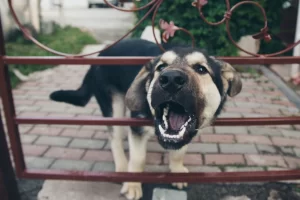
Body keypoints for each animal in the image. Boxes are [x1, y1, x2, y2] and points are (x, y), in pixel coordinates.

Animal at [49, 38, 241, 199]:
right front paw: (133, 185)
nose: (171, 79)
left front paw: (176, 170)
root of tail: (100, 56)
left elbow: (179, 152)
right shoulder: (137, 127)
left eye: (201, 69)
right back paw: (121, 167)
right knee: (115, 138)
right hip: (114, 105)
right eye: (161, 67)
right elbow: (138, 158)